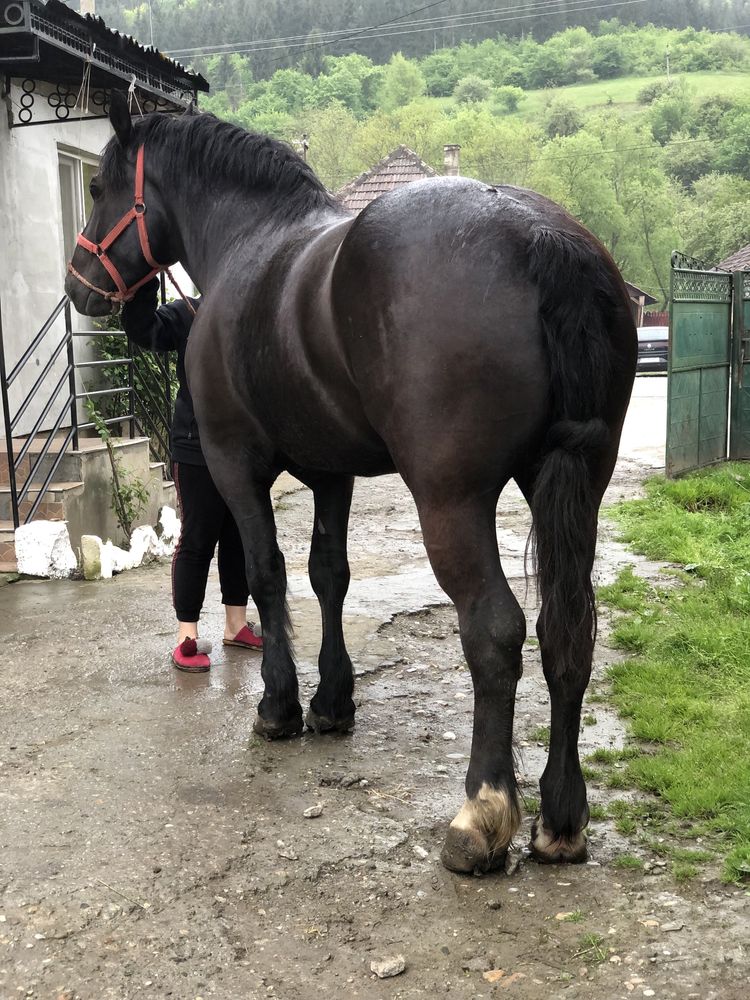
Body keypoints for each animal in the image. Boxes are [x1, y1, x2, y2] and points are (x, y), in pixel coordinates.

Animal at [67, 94, 636, 876]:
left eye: (98, 188)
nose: (79, 285)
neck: (251, 243)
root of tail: (540, 234)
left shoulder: (235, 464)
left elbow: (268, 573)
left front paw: (279, 706)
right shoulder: (332, 474)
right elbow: (328, 575)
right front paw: (334, 701)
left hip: (452, 502)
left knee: (495, 630)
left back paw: (483, 813)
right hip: (578, 488)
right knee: (564, 633)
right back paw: (561, 818)